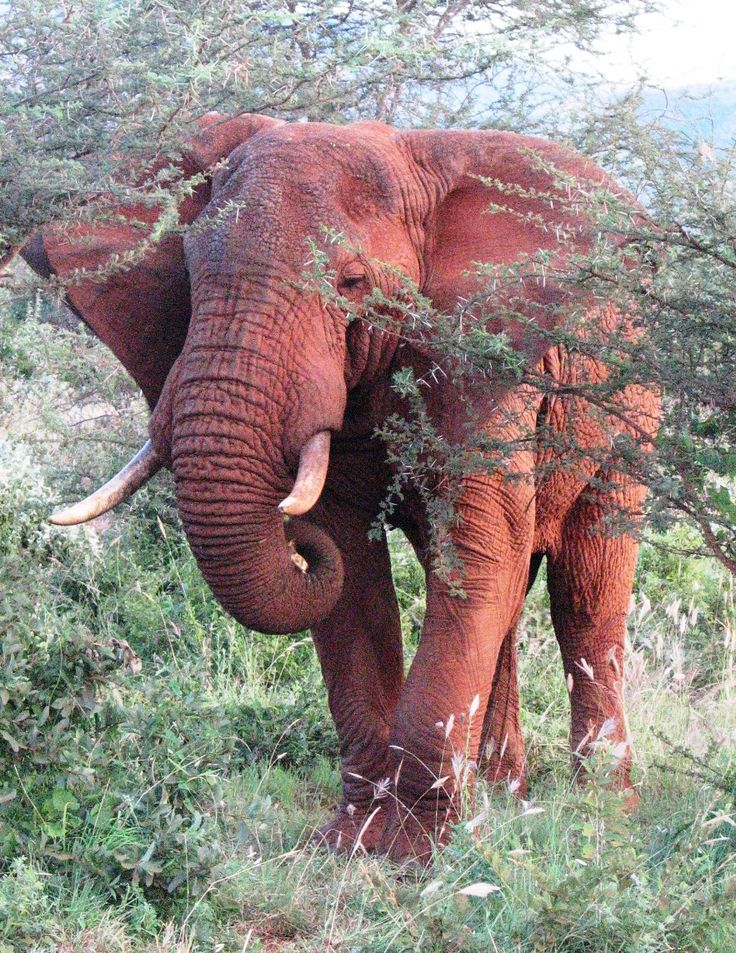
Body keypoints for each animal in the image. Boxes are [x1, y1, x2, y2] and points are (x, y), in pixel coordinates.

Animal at [17, 111, 660, 864]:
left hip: (633, 399)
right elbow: (354, 568)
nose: (293, 534)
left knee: (585, 591)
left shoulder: (485, 358)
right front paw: (353, 840)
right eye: (191, 273)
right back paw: (503, 797)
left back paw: (601, 812)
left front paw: (413, 851)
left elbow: (478, 550)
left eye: (352, 281)